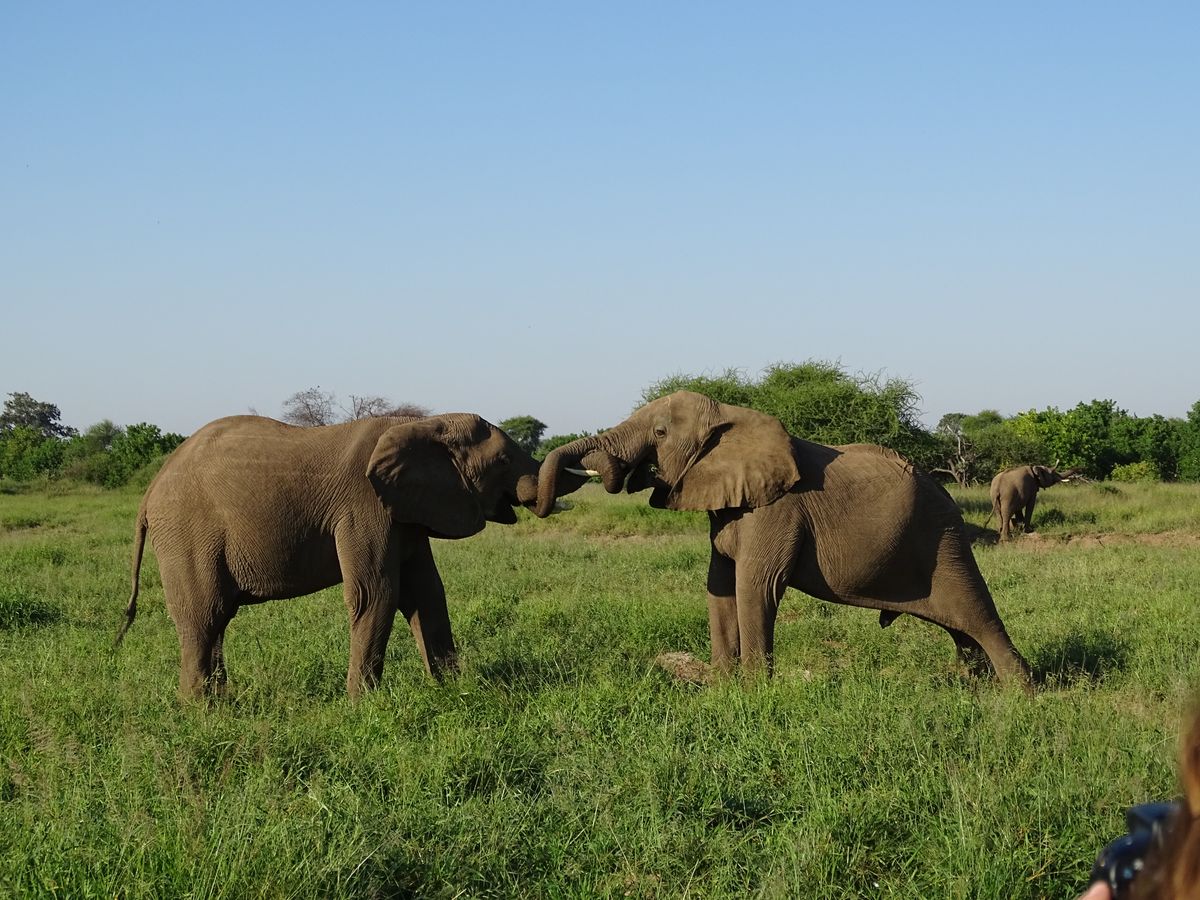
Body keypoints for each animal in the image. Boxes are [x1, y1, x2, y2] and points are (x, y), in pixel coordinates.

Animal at [117, 413, 587, 699]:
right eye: (504, 460)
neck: (422, 424)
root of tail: (150, 492)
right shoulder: (365, 506)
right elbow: (375, 593)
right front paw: (364, 707)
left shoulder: (408, 511)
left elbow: (428, 594)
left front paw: (453, 692)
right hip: (187, 535)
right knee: (204, 616)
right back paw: (201, 714)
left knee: (216, 621)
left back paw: (221, 705)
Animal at [535, 391, 1032, 687]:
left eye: (660, 432)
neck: (729, 417)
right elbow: (719, 587)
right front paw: (721, 686)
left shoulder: (777, 511)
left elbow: (755, 586)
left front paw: (753, 692)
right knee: (961, 626)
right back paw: (972, 684)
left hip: (941, 537)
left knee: (976, 612)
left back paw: (1019, 693)